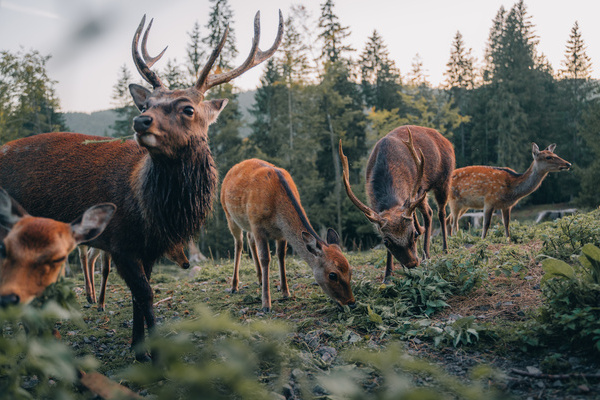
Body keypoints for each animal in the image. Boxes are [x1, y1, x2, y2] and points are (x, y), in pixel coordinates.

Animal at [0, 10, 284, 360]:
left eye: (187, 108)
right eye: (145, 104)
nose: (140, 121)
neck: (152, 210)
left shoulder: (148, 248)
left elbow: (139, 296)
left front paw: (139, 348)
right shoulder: (120, 242)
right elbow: (146, 295)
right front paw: (153, 354)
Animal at [220, 158, 354, 310]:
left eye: (350, 270)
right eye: (332, 275)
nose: (351, 302)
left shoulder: (281, 233)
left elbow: (281, 256)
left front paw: (286, 292)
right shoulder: (257, 225)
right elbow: (265, 258)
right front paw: (266, 304)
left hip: (248, 225)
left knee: (249, 239)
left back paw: (260, 279)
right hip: (229, 215)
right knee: (239, 243)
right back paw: (234, 286)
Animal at [338, 125, 454, 282]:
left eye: (413, 234)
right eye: (386, 242)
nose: (412, 264)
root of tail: (446, 140)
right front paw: (388, 275)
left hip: (443, 180)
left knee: (440, 213)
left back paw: (442, 250)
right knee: (429, 213)